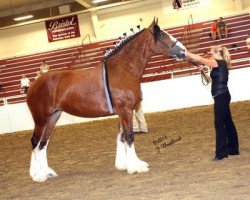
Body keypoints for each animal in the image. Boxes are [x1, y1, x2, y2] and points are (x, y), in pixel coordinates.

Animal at [26, 18, 186, 182]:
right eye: (162, 34)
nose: (183, 51)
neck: (123, 70)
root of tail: (33, 85)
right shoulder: (126, 110)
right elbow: (129, 136)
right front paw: (135, 167)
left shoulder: (123, 112)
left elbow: (121, 137)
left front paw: (124, 164)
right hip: (41, 119)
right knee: (35, 141)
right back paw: (37, 175)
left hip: (53, 117)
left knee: (43, 143)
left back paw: (46, 172)